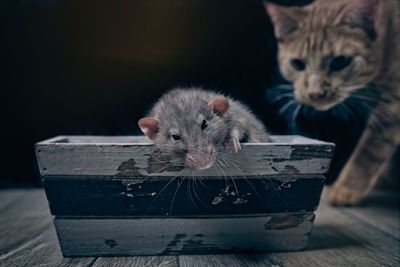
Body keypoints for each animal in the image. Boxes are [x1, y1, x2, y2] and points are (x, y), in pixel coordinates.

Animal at [264, 0, 398, 207]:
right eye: (297, 64)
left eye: (340, 62)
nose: (315, 93)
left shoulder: (392, 106)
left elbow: (367, 152)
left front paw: (345, 188)